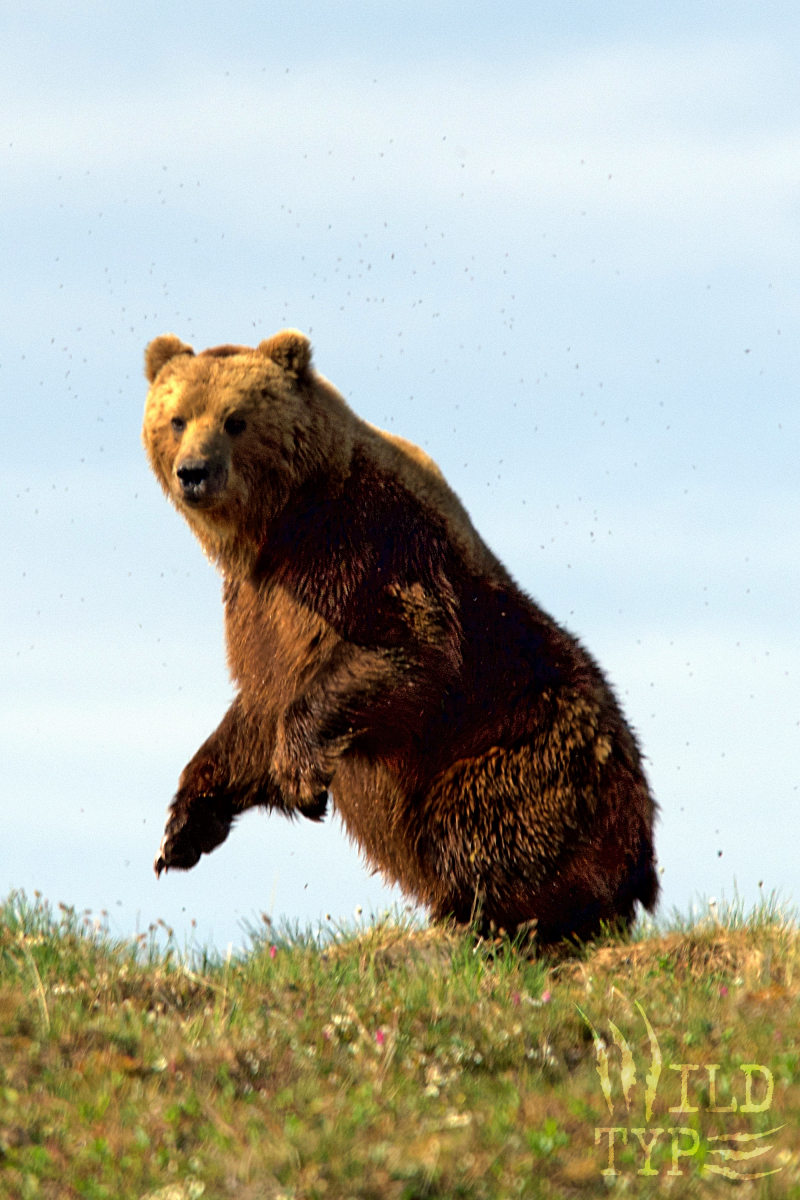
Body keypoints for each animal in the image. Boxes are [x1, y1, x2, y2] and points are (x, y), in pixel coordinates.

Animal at [142, 329, 658, 945]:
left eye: (235, 419)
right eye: (177, 418)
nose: (194, 472)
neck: (281, 528)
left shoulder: (368, 552)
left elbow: (412, 653)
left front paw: (302, 780)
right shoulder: (260, 609)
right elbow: (256, 710)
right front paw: (183, 831)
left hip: (527, 738)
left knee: (475, 821)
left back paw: (493, 916)